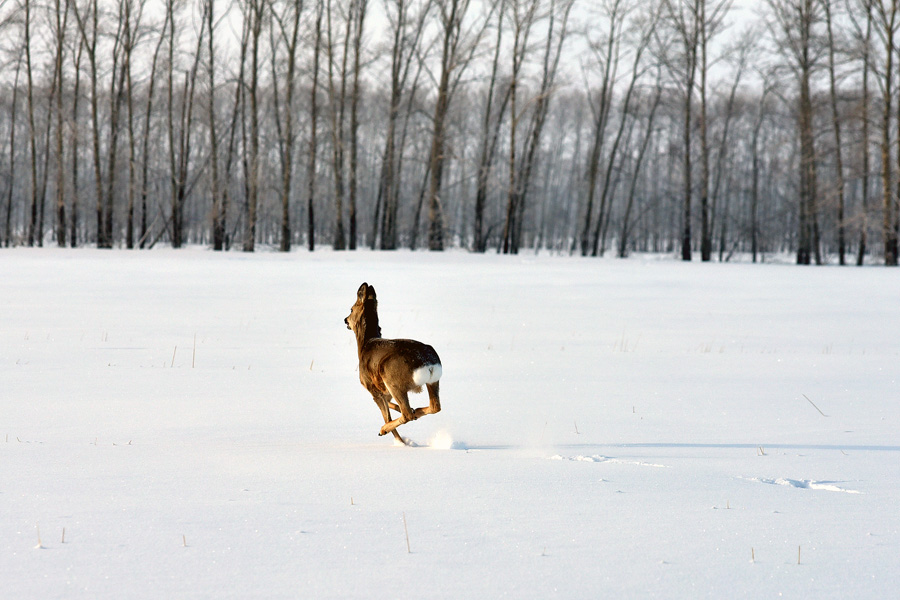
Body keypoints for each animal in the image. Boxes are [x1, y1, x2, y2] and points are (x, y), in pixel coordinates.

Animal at [344, 282, 442, 440]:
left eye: (351, 309)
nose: (345, 319)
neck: (364, 344)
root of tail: (427, 363)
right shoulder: (384, 391)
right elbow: (389, 404)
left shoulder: (371, 386)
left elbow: (386, 415)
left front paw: (397, 440)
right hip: (433, 381)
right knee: (435, 406)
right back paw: (416, 411)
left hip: (393, 380)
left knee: (406, 414)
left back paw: (384, 429)